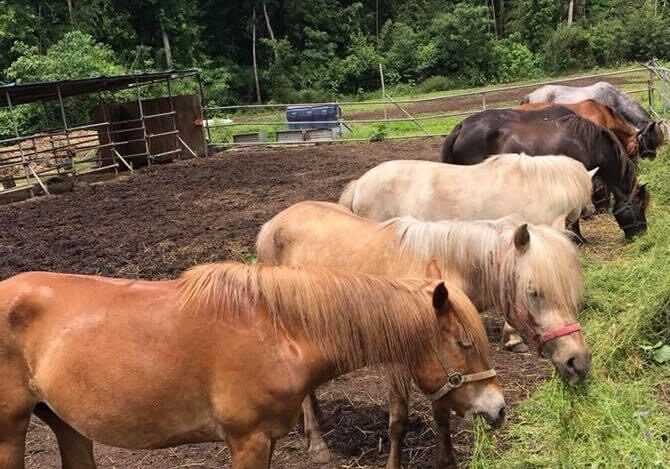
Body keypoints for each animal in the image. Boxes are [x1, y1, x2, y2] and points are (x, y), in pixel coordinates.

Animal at [0, 263, 504, 469]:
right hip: (10, 432)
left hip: (68, 424)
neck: (277, 332)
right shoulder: (247, 442)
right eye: (464, 343)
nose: (498, 409)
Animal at [257, 201, 589, 468]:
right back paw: (317, 442)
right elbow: (399, 419)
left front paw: (446, 460)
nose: (578, 362)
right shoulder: (399, 361)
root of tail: (271, 225)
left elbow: (442, 415)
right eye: (534, 291)